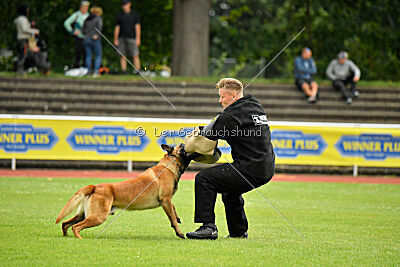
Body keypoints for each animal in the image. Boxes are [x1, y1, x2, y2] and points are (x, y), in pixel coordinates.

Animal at [55, 144, 197, 241]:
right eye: (182, 147)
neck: (169, 165)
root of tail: (94, 186)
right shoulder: (165, 199)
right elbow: (172, 217)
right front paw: (179, 232)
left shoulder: (167, 200)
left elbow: (173, 210)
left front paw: (177, 217)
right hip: (98, 217)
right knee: (75, 227)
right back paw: (79, 239)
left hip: (83, 214)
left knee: (65, 224)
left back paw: (66, 237)